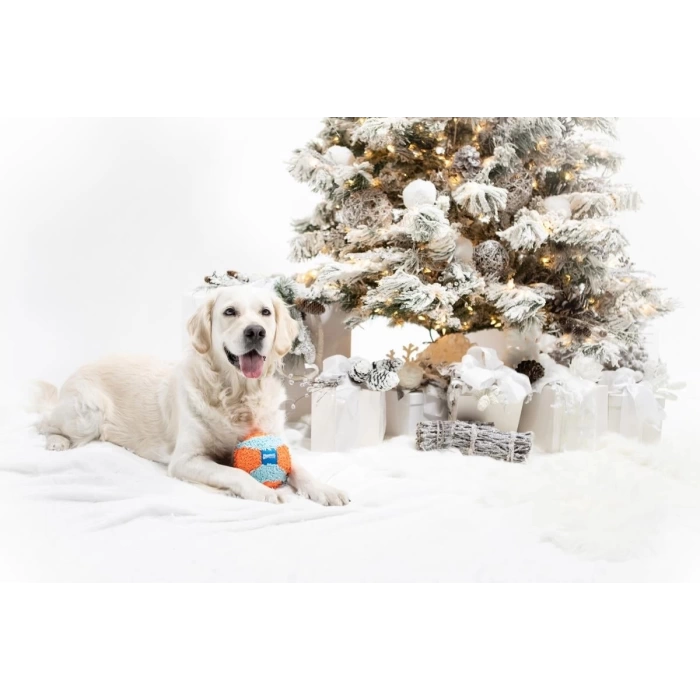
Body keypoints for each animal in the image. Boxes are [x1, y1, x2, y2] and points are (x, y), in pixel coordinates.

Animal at [34, 288, 348, 506]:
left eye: (265, 313)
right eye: (230, 312)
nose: (256, 331)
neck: (237, 395)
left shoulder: (275, 438)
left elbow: (299, 467)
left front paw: (325, 489)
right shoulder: (186, 459)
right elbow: (235, 472)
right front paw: (260, 491)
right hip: (88, 412)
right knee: (44, 422)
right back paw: (57, 441)